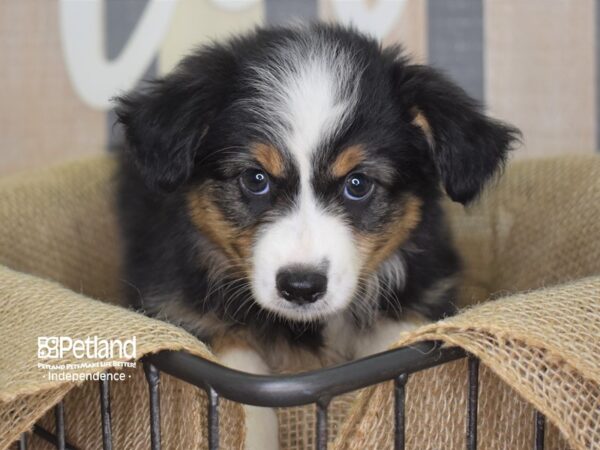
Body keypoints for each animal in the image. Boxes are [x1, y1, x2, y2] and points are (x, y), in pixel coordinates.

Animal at [115, 23, 516, 446]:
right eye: (255, 178)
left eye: (358, 184)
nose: (301, 287)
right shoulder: (179, 306)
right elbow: (239, 382)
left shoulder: (421, 295)